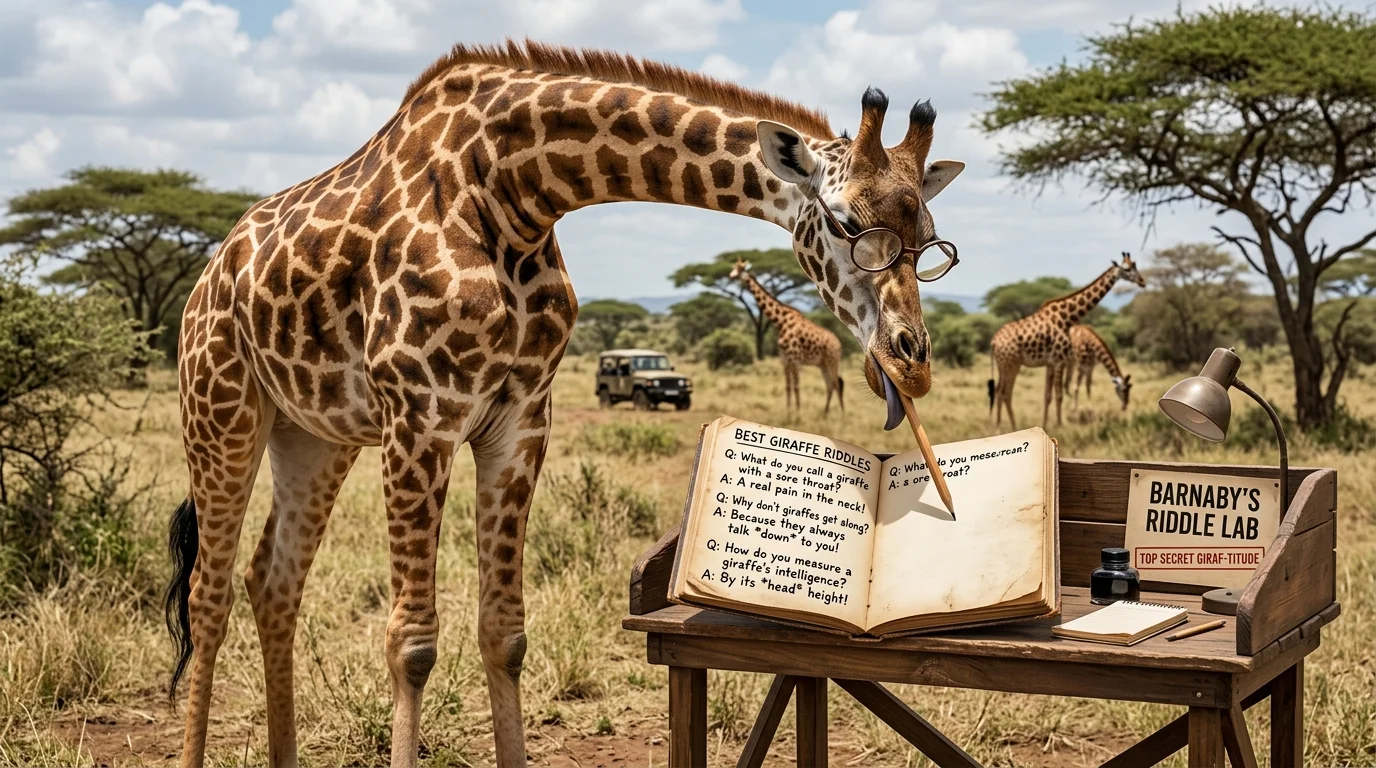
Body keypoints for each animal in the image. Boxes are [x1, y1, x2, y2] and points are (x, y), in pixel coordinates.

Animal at [728, 259, 844, 414]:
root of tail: (838, 344)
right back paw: (824, 414)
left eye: (740, 269)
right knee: (829, 384)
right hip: (822, 364)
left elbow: (796, 387)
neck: (780, 322)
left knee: (836, 383)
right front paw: (789, 413)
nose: (731, 276)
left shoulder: (794, 360)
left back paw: (842, 415)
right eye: (734, 268)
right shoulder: (785, 361)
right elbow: (788, 387)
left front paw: (798, 413)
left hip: (833, 361)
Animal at [987, 253, 1144, 429]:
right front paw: (1061, 424)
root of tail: (993, 342)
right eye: (1128, 269)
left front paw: (1046, 423)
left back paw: (1001, 425)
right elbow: (1060, 394)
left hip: (1004, 365)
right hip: (1012, 364)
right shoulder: (1061, 361)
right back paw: (1010, 427)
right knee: (1005, 393)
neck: (1067, 318)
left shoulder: (1052, 363)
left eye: (1135, 266)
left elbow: (1048, 395)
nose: (1142, 281)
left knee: (999, 391)